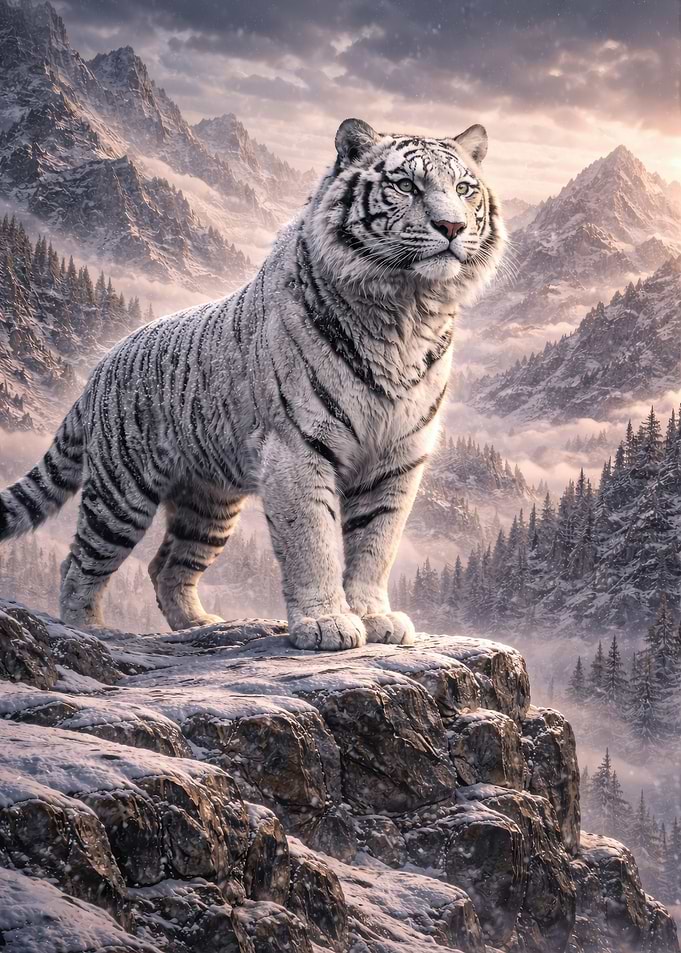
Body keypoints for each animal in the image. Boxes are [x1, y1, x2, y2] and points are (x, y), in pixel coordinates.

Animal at [0, 119, 506, 649]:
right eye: (406, 185)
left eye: (464, 189)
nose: (452, 228)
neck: (406, 311)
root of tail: (100, 366)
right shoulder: (299, 447)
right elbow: (312, 540)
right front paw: (326, 623)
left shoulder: (397, 458)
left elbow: (376, 543)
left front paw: (374, 617)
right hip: (121, 494)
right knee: (80, 562)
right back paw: (92, 630)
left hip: (209, 503)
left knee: (168, 566)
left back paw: (200, 625)